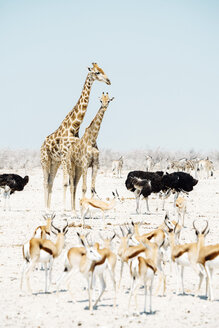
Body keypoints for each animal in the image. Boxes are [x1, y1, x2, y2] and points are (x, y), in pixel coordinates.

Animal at [40, 62, 111, 210]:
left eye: (102, 69)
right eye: (97, 72)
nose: (109, 81)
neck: (74, 126)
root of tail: (42, 144)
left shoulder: (68, 159)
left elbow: (72, 183)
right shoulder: (65, 156)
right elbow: (66, 183)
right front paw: (65, 209)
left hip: (54, 162)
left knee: (50, 181)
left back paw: (49, 207)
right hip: (45, 160)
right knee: (45, 181)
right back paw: (46, 208)